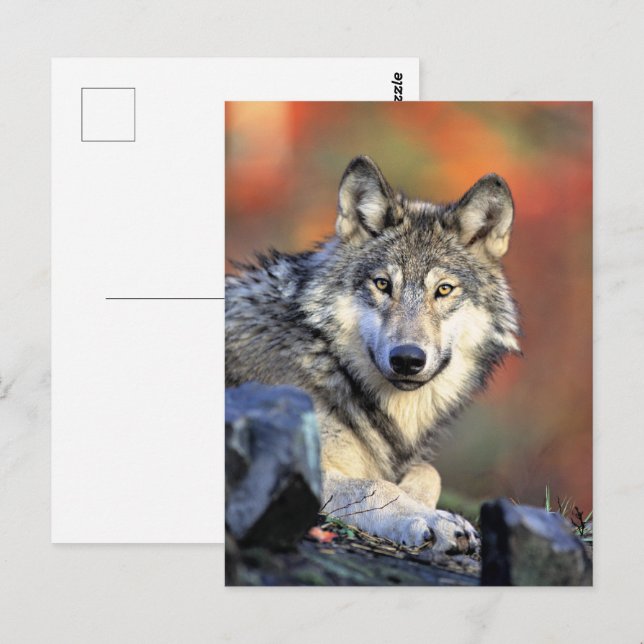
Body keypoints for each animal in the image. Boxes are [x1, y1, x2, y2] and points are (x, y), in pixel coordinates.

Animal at [225, 156, 520, 553]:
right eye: (383, 284)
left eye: (444, 290)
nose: (407, 359)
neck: (330, 363)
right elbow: (375, 486)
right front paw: (433, 520)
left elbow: (429, 472)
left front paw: (422, 502)